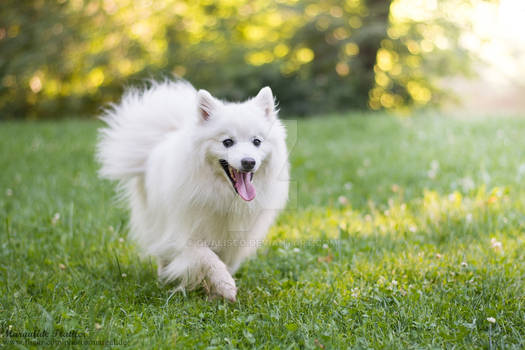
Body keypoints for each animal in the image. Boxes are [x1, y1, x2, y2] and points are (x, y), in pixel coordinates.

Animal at [96, 81, 288, 300]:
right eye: (227, 142)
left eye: (257, 141)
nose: (249, 162)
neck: (223, 194)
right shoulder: (184, 234)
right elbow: (208, 258)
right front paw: (225, 285)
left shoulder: (235, 239)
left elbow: (223, 261)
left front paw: (216, 291)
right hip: (157, 219)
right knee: (162, 251)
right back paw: (163, 277)